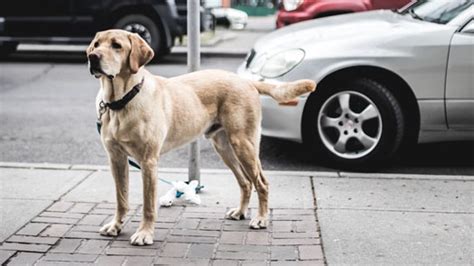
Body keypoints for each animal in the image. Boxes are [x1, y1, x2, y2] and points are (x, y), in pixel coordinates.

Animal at [87, 29, 316, 245]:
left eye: (116, 45)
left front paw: (144, 234)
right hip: (225, 147)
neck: (121, 101)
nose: (92, 57)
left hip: (244, 144)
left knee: (261, 182)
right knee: (245, 182)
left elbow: (148, 205)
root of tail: (247, 82)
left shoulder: (148, 161)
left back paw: (261, 218)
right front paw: (116, 226)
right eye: (96, 44)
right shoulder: (116, 159)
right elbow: (121, 198)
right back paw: (240, 212)